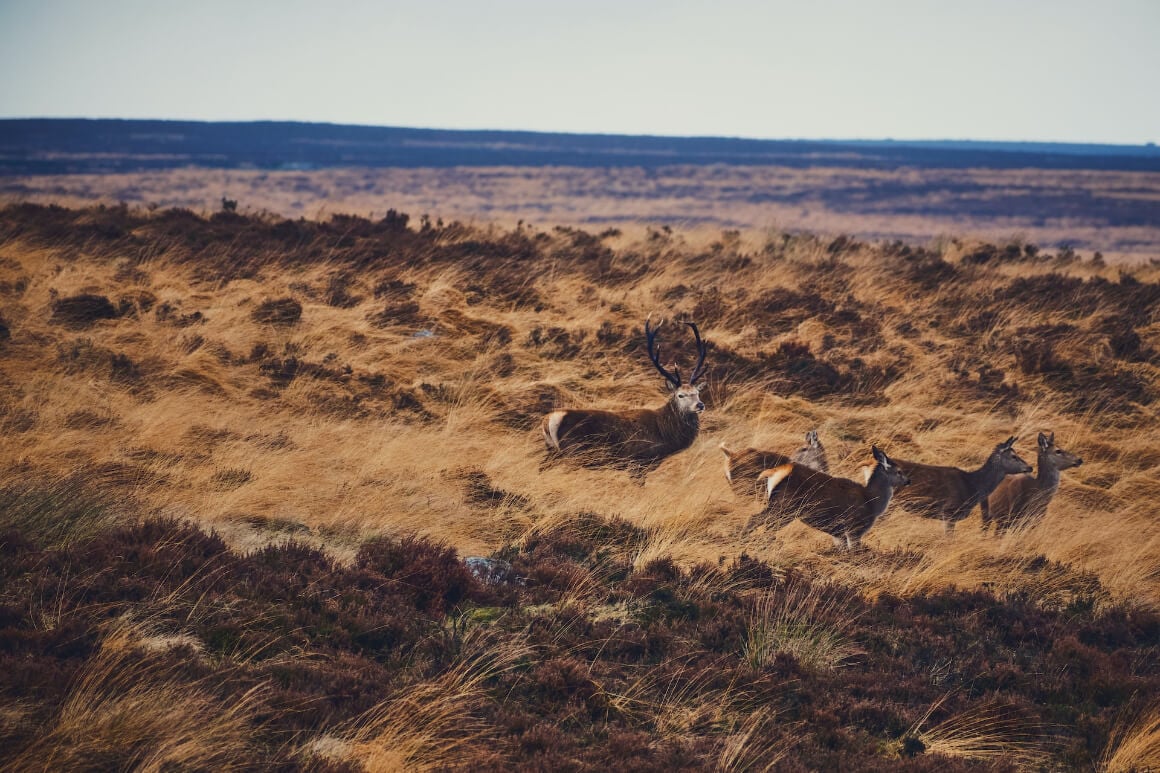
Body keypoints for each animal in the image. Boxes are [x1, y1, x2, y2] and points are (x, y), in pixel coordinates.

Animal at [540, 315, 705, 473]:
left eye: (697, 392)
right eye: (680, 395)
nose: (700, 405)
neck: (664, 434)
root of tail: (549, 420)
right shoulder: (637, 461)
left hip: (553, 451)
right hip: (573, 452)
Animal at [742, 445, 914, 547]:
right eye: (899, 471)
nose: (908, 480)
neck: (872, 502)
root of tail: (774, 472)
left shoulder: (838, 533)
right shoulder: (854, 529)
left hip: (778, 506)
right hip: (785, 507)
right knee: (760, 522)